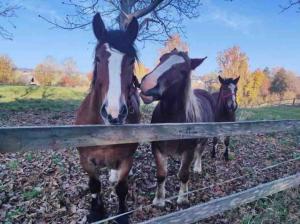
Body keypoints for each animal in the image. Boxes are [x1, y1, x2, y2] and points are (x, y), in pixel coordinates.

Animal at [75, 12, 141, 224]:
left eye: (131, 61)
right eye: (98, 58)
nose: (114, 114)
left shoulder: (126, 159)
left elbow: (121, 188)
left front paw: (121, 215)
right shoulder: (86, 160)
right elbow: (94, 185)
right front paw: (97, 212)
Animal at [139, 49, 214, 206]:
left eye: (184, 70)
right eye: (161, 59)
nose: (147, 85)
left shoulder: (189, 150)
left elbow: (184, 174)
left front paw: (183, 198)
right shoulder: (157, 148)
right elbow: (161, 175)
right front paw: (159, 200)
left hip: (203, 139)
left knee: (200, 152)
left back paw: (197, 167)